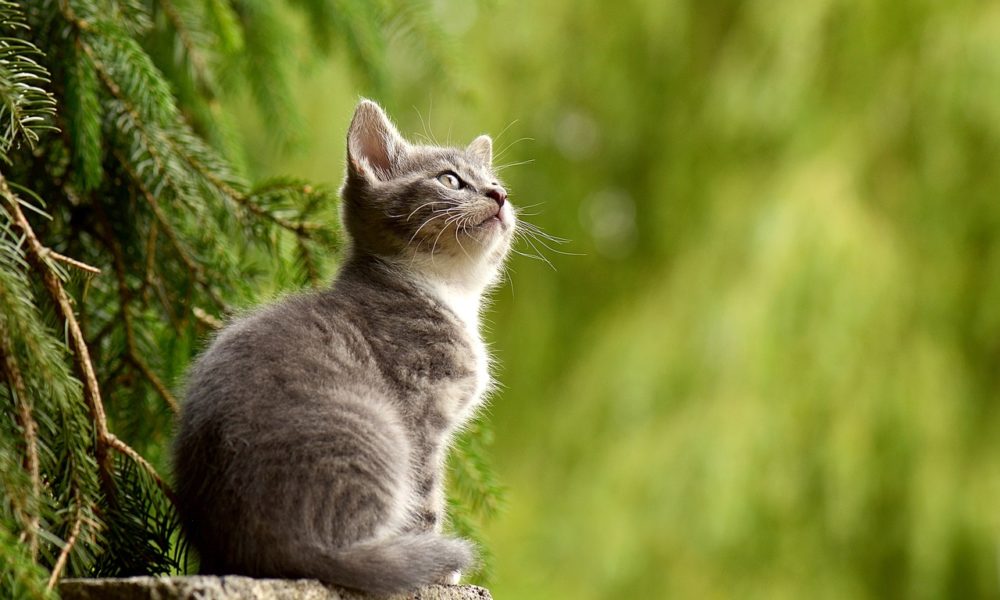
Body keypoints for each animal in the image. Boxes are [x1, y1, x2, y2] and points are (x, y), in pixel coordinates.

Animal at [172, 99, 512, 596]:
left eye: (496, 181)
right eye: (450, 180)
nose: (499, 195)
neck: (446, 291)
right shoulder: (421, 416)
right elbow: (426, 497)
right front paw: (440, 570)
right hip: (378, 431)